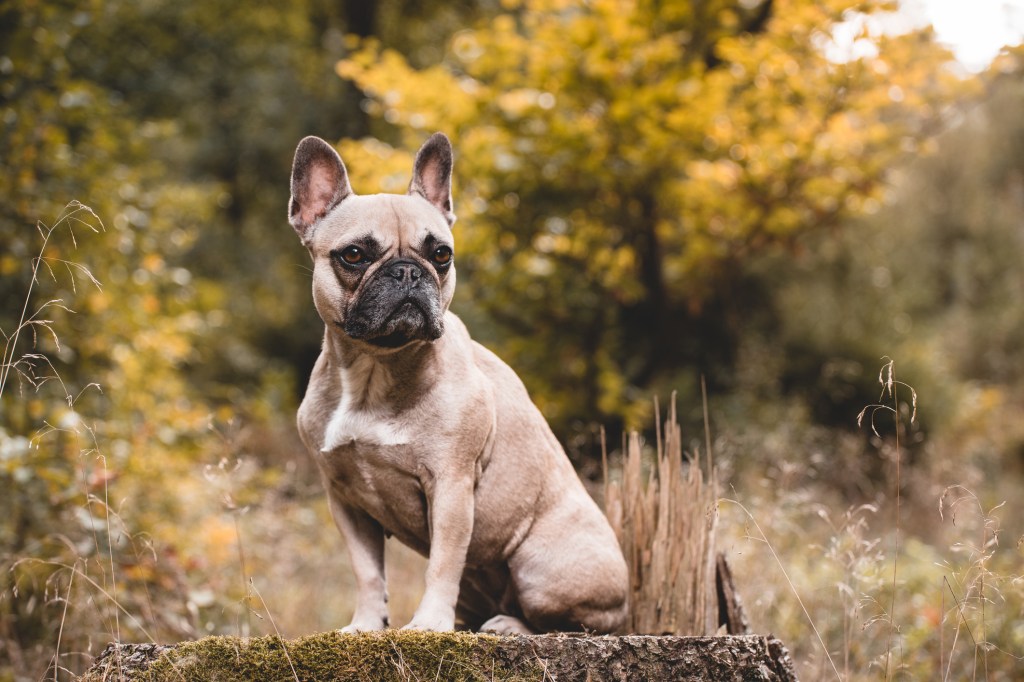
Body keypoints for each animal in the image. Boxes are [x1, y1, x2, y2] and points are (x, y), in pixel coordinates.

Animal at [284, 133, 626, 630]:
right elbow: (367, 571)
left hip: (541, 566)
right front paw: (366, 625)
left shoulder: (450, 485)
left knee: (575, 621)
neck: (375, 371)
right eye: (354, 255)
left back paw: (509, 625)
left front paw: (428, 624)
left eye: (440, 254)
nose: (408, 270)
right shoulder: (345, 498)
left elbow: (443, 563)